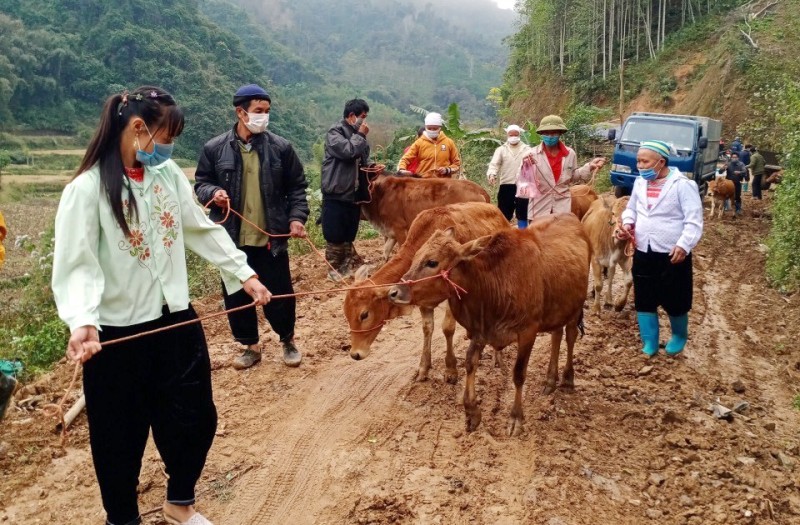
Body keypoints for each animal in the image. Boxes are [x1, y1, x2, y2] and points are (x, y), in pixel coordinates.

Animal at [342, 202, 506, 380]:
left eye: (364, 314)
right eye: (346, 314)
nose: (355, 354)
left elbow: (448, 328)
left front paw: (450, 369)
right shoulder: (422, 299)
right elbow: (427, 328)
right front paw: (423, 368)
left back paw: (496, 357)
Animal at [390, 213, 592, 434]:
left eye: (432, 262)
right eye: (416, 256)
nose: (394, 292)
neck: (494, 284)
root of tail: (571, 217)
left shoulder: (528, 332)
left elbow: (518, 374)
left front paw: (516, 417)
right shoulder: (481, 331)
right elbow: (470, 363)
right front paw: (472, 413)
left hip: (575, 307)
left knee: (570, 336)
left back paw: (567, 379)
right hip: (558, 307)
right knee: (557, 335)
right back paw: (550, 380)